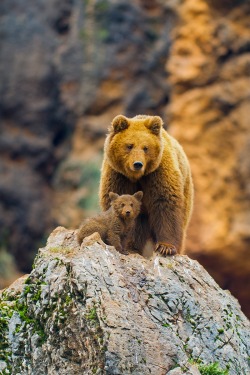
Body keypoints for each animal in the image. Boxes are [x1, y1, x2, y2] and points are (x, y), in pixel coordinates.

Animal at [99, 113, 193, 258]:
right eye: (129, 145)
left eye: (145, 147)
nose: (138, 164)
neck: (137, 177)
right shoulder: (118, 176)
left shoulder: (158, 173)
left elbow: (165, 204)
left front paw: (166, 247)